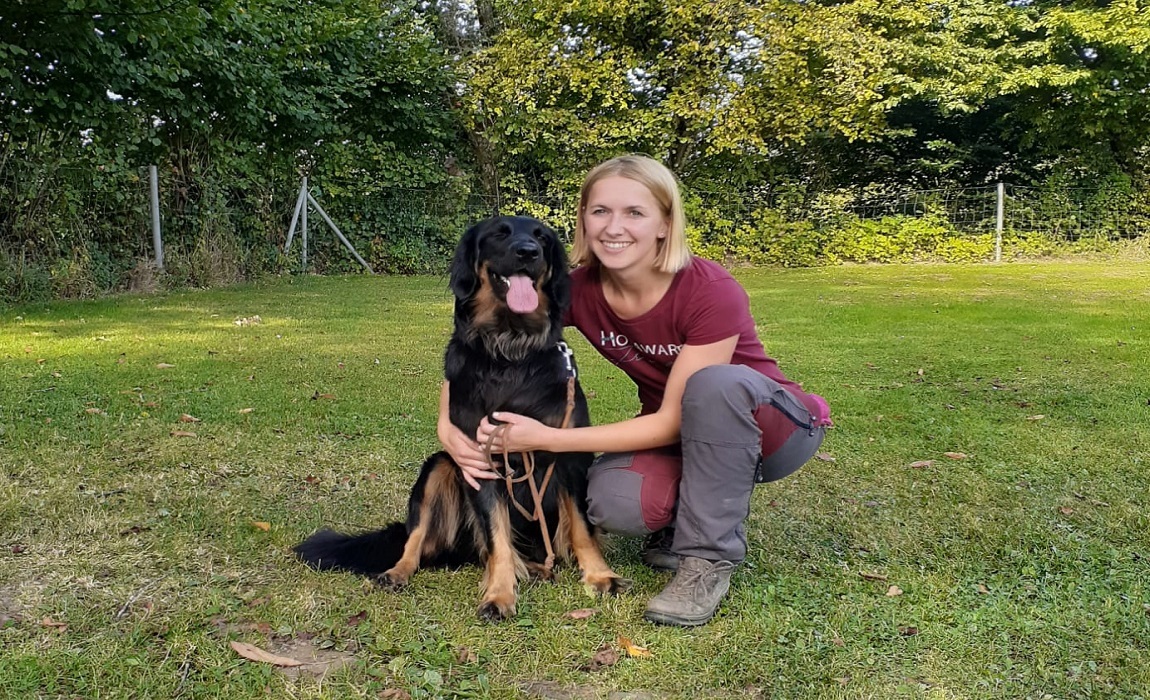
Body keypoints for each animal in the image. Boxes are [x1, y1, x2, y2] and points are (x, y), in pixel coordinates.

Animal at [292, 216, 625, 620]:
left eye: (542, 238)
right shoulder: (479, 461)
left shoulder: (569, 453)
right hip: (439, 466)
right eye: (499, 233)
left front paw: (599, 576)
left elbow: (580, 526)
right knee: (422, 541)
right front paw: (499, 594)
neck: (511, 351)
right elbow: (497, 538)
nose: (528, 252)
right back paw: (401, 572)